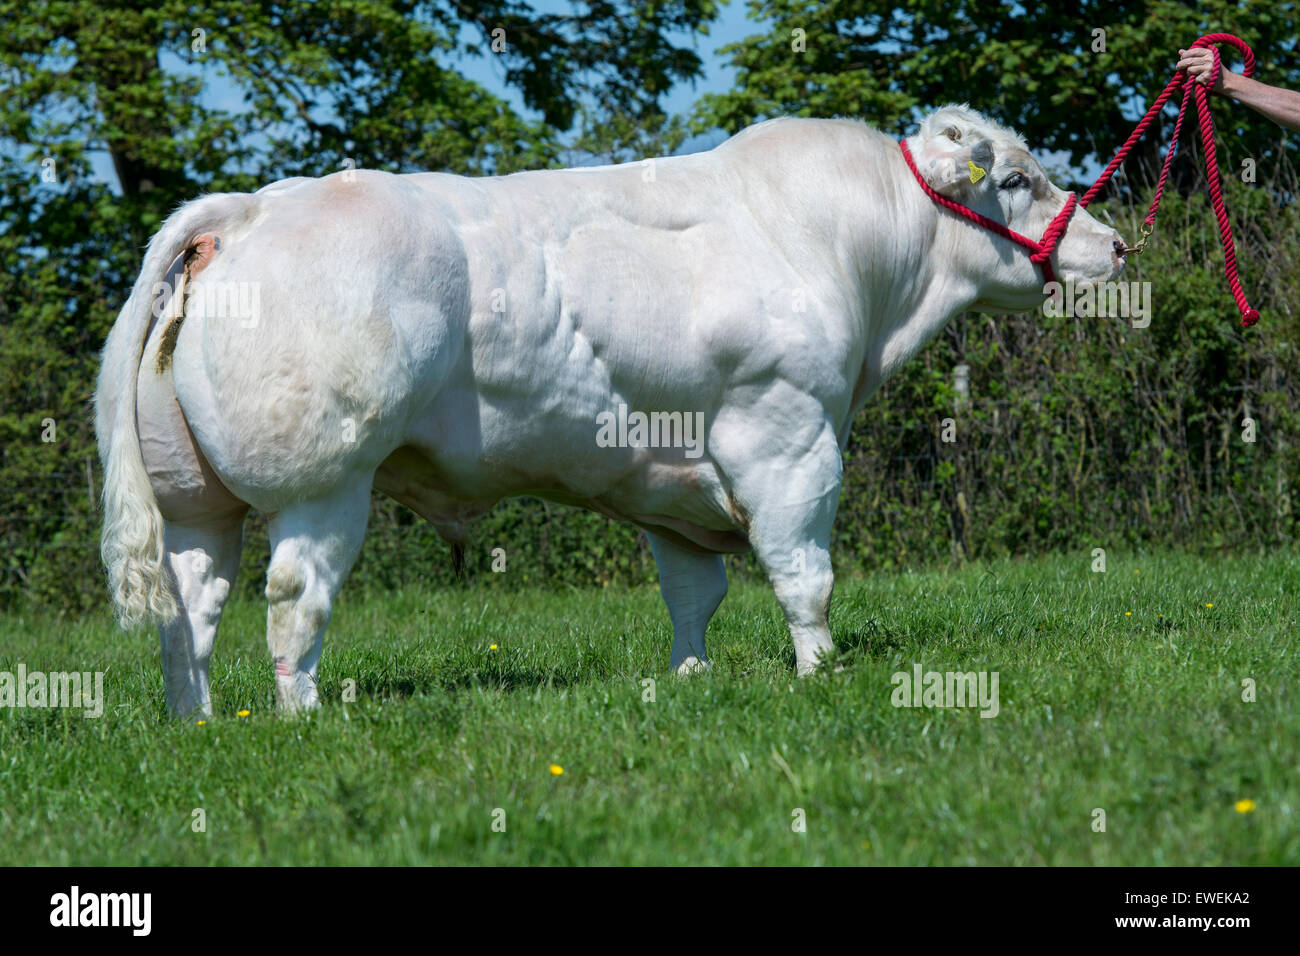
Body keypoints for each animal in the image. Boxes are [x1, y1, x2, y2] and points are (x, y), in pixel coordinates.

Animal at [94, 104, 1128, 717]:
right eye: (1018, 180)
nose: (1115, 245)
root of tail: (250, 209)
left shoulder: (669, 479)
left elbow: (694, 592)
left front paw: (690, 680)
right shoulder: (786, 433)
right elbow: (804, 573)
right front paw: (818, 675)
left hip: (195, 499)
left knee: (190, 609)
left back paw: (197, 721)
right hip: (324, 480)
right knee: (292, 597)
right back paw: (301, 717)